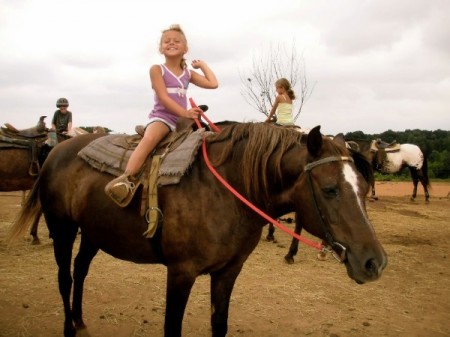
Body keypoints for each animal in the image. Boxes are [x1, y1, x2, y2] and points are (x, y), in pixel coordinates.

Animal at [7, 122, 386, 336]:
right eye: (330, 190)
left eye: (363, 187)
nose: (375, 262)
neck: (227, 189)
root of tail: (56, 150)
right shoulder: (181, 273)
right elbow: (171, 327)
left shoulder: (228, 272)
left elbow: (220, 324)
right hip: (63, 229)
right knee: (65, 278)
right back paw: (68, 327)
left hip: (94, 233)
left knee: (81, 270)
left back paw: (81, 321)